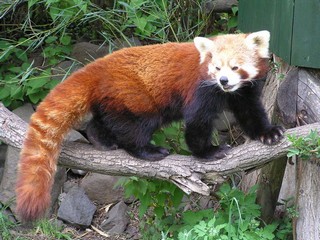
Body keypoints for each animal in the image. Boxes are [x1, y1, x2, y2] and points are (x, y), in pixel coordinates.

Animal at [16, 30, 284, 221]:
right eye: (216, 67)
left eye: (235, 67)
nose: (224, 81)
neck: (226, 91)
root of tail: (98, 67)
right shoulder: (200, 89)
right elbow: (197, 122)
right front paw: (208, 152)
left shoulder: (244, 92)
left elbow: (250, 112)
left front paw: (268, 133)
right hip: (134, 97)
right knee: (135, 128)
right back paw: (148, 151)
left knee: (103, 120)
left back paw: (100, 139)